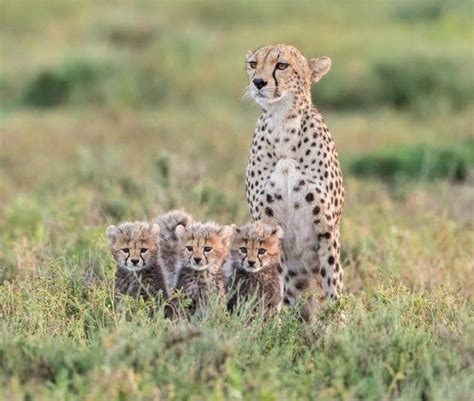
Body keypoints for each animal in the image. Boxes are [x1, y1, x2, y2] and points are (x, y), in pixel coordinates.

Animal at [244, 43, 344, 320]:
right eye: (253, 63)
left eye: (282, 65)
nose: (258, 82)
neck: (282, 125)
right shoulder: (267, 229)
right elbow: (275, 285)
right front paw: (273, 326)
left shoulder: (326, 229)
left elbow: (332, 283)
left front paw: (341, 325)